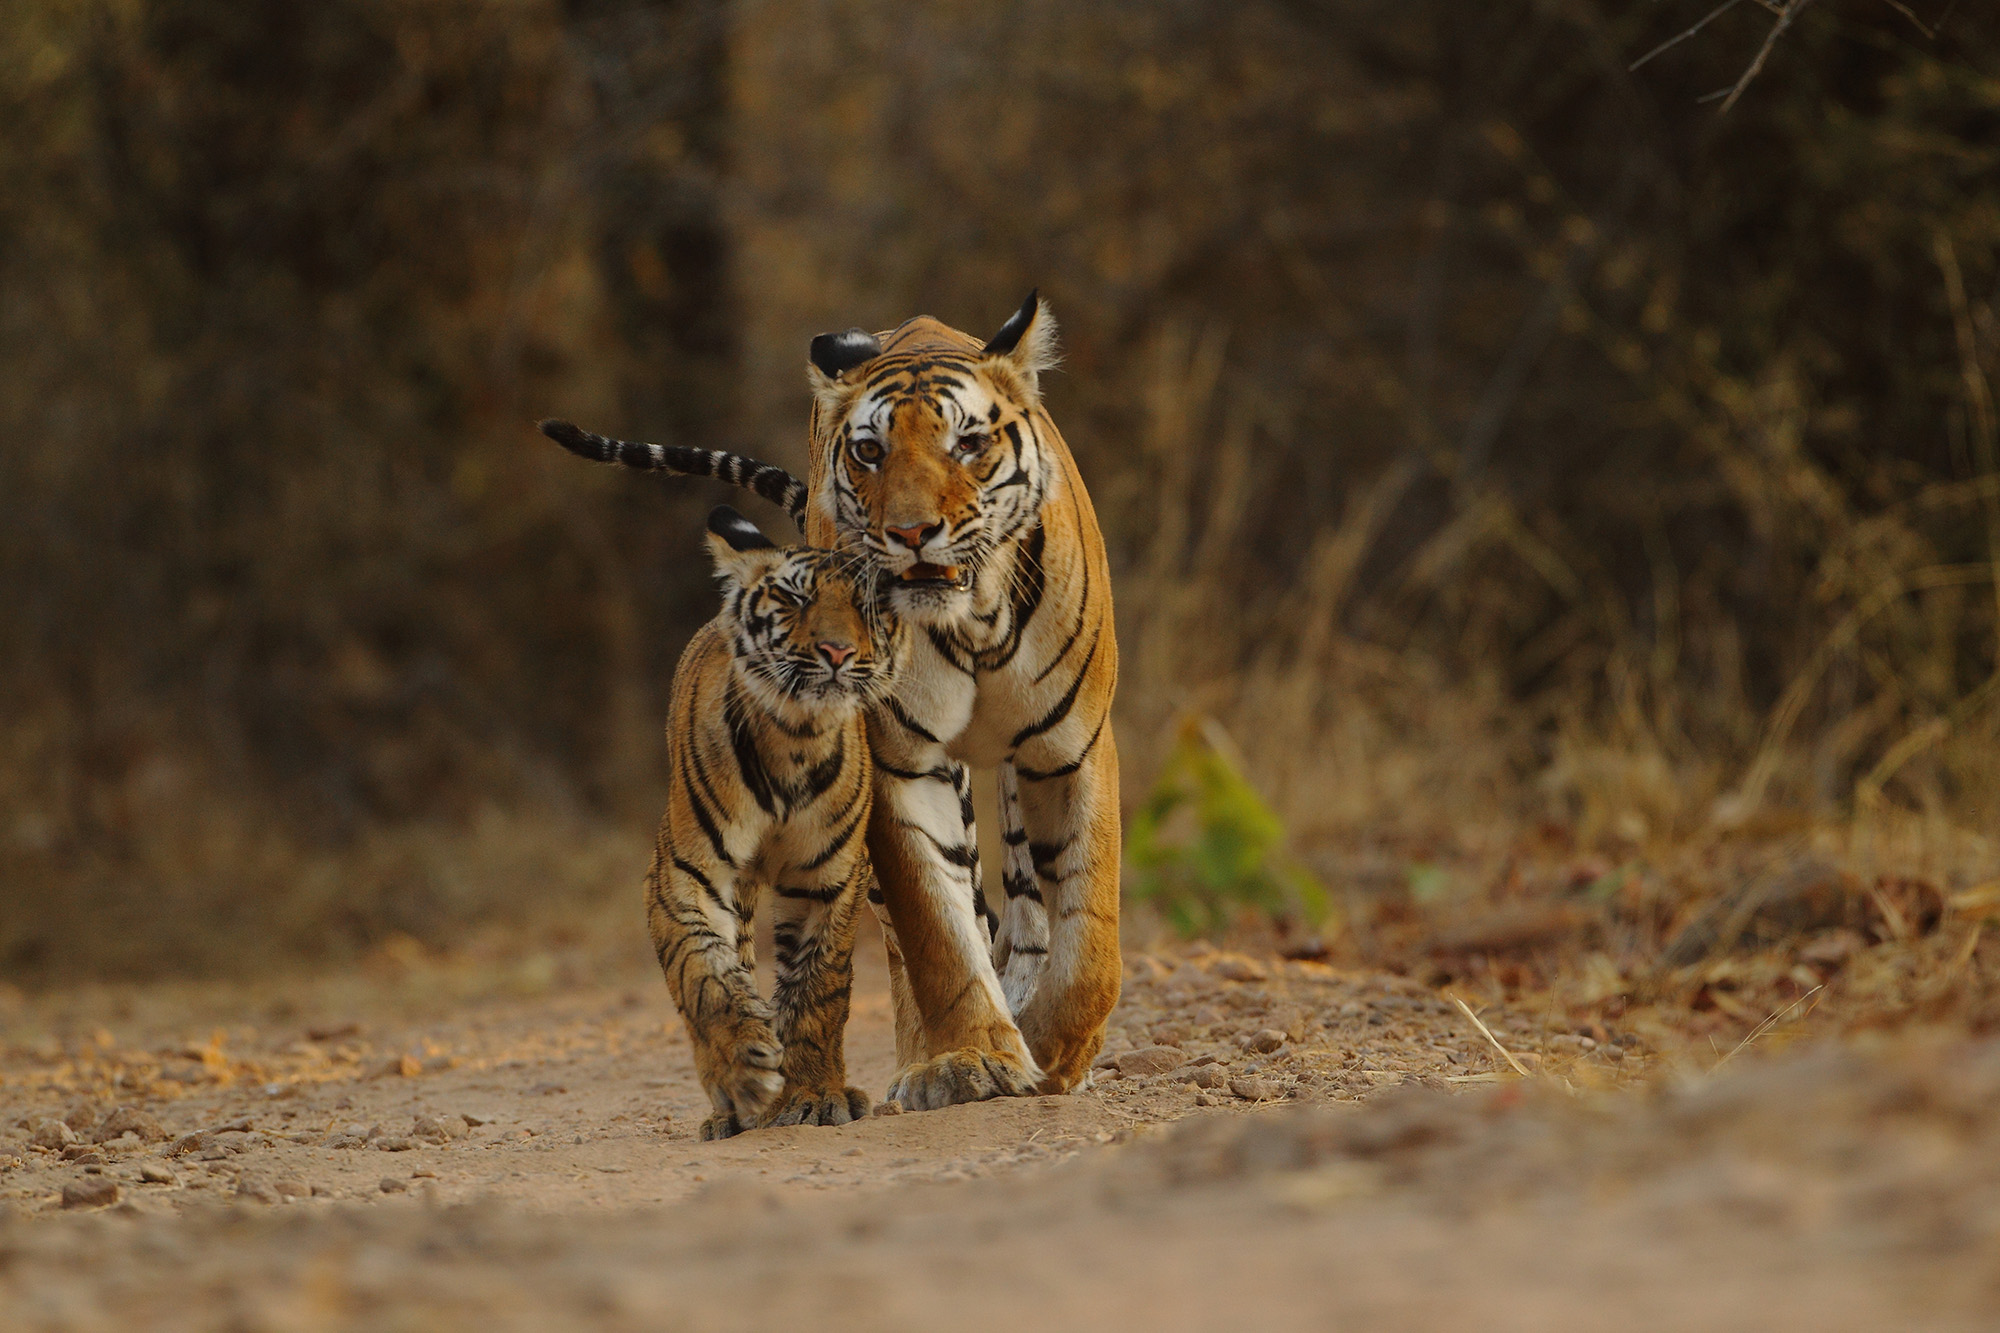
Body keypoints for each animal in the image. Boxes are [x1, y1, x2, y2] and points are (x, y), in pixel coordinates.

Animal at [644, 504, 901, 1140]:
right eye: (793, 598)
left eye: (866, 606)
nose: (836, 652)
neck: (795, 739)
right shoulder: (683, 874)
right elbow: (704, 975)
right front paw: (743, 1069)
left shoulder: (827, 878)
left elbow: (818, 990)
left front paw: (811, 1097)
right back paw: (730, 1111)